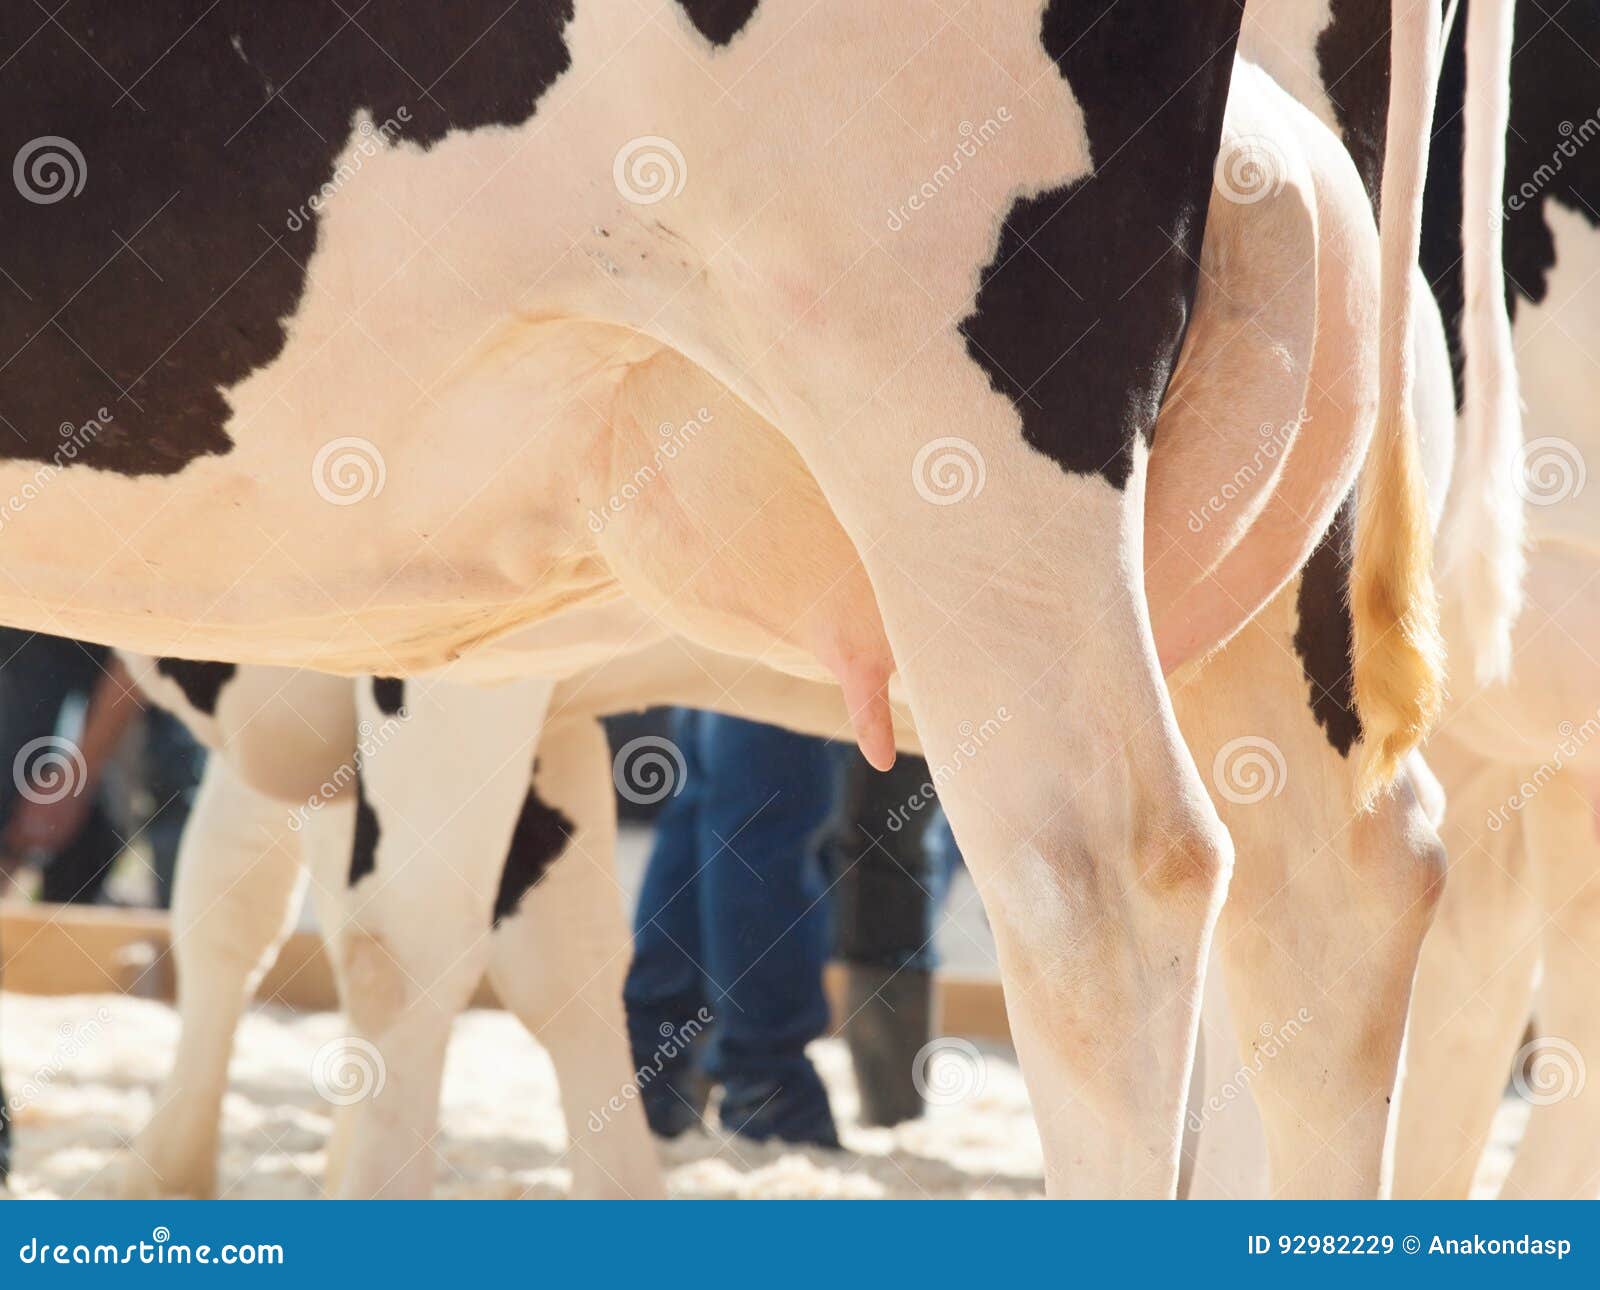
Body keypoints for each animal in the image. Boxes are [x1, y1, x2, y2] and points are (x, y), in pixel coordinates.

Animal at [0, 2, 1512, 1197]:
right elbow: (499, 941)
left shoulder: (422, 634)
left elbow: (377, 932)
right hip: (1282, 524)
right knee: (1335, 912)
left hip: (945, 393)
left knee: (1105, 890)